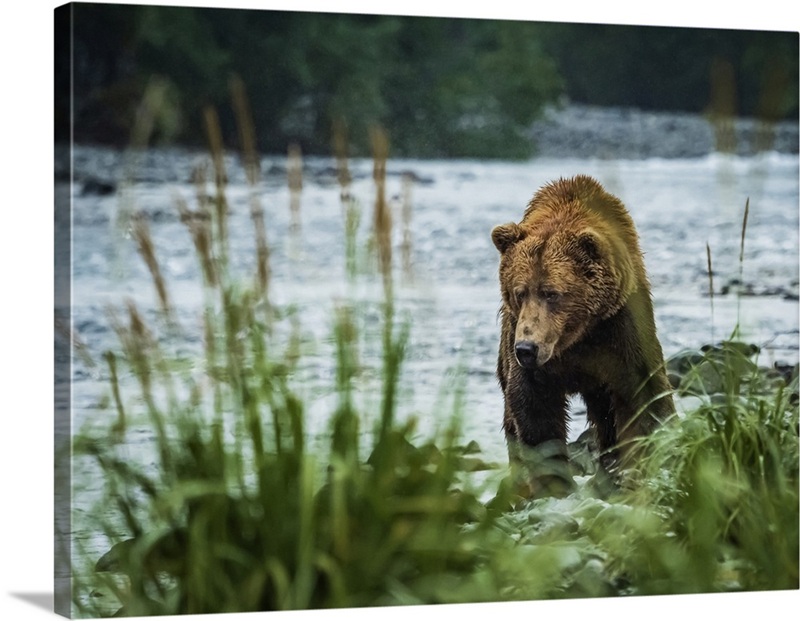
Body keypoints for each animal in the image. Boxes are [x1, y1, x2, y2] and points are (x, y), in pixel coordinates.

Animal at [491, 175, 674, 495]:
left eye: (552, 293)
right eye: (519, 292)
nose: (527, 348)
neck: (575, 336)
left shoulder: (619, 326)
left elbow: (644, 393)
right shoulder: (524, 344)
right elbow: (533, 406)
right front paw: (553, 482)